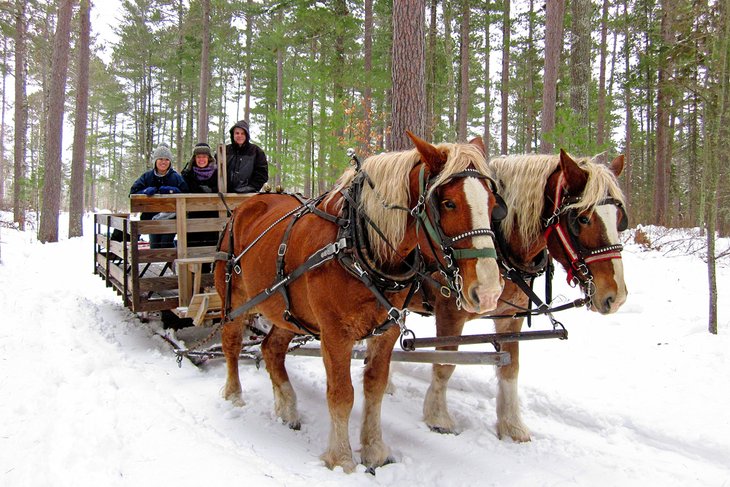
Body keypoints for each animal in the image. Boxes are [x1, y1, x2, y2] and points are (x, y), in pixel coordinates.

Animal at [213, 132, 504, 472]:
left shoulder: (386, 330)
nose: (489, 291)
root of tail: (245, 206)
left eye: (494, 204)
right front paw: (341, 458)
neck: (358, 242)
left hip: (288, 312)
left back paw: (287, 408)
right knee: (231, 343)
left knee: (271, 350)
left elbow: (375, 388)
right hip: (235, 300)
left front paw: (375, 451)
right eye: (448, 203)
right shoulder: (335, 334)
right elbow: (342, 394)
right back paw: (234, 395)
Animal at [418, 150, 628, 442]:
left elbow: (511, 368)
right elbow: (444, 364)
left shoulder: (511, 318)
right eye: (582, 219)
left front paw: (512, 425)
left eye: (618, 218)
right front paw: (437, 417)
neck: (500, 246)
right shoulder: (449, 314)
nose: (616, 296)